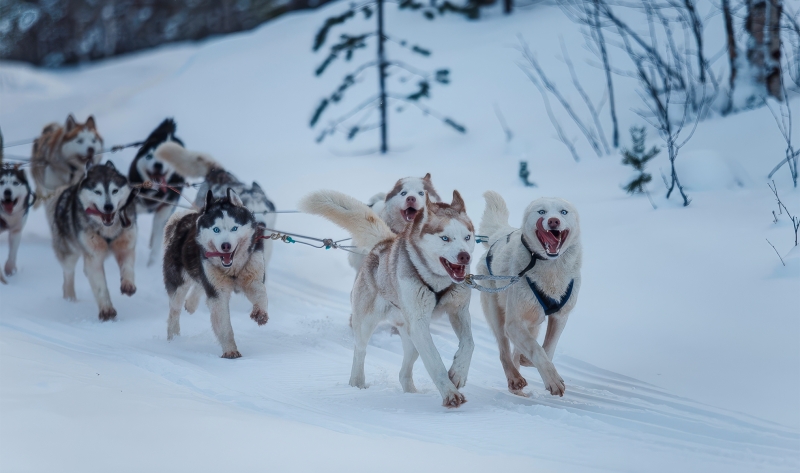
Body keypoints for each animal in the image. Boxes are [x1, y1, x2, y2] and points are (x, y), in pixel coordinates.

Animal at [47, 160, 138, 318]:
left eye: (114, 190)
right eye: (98, 192)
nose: (108, 206)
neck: (108, 231)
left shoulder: (126, 245)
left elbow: (127, 266)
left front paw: (128, 284)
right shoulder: (93, 257)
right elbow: (100, 285)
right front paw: (106, 310)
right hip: (69, 253)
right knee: (68, 274)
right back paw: (69, 299)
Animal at [162, 188, 268, 358]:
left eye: (234, 228)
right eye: (216, 229)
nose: (226, 246)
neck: (233, 269)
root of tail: (184, 219)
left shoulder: (252, 278)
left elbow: (261, 294)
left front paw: (260, 313)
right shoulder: (218, 292)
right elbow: (224, 324)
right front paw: (230, 350)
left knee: (199, 286)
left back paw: (191, 304)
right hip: (179, 284)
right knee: (174, 310)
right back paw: (174, 338)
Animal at [300, 188, 476, 406]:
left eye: (467, 237)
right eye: (445, 238)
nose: (464, 256)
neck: (437, 282)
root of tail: (384, 243)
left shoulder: (459, 311)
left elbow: (469, 343)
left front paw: (458, 373)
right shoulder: (419, 323)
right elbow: (435, 362)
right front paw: (450, 393)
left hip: (411, 336)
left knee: (403, 372)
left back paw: (411, 394)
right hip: (368, 323)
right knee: (360, 351)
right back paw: (357, 383)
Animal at [476, 191, 580, 394]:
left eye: (563, 212)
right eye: (542, 212)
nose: (554, 221)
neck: (551, 270)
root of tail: (498, 236)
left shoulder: (560, 317)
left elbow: (548, 348)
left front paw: (528, 359)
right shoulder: (514, 323)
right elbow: (537, 350)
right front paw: (553, 380)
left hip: (534, 321)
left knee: (517, 350)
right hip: (498, 315)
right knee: (504, 351)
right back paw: (514, 379)